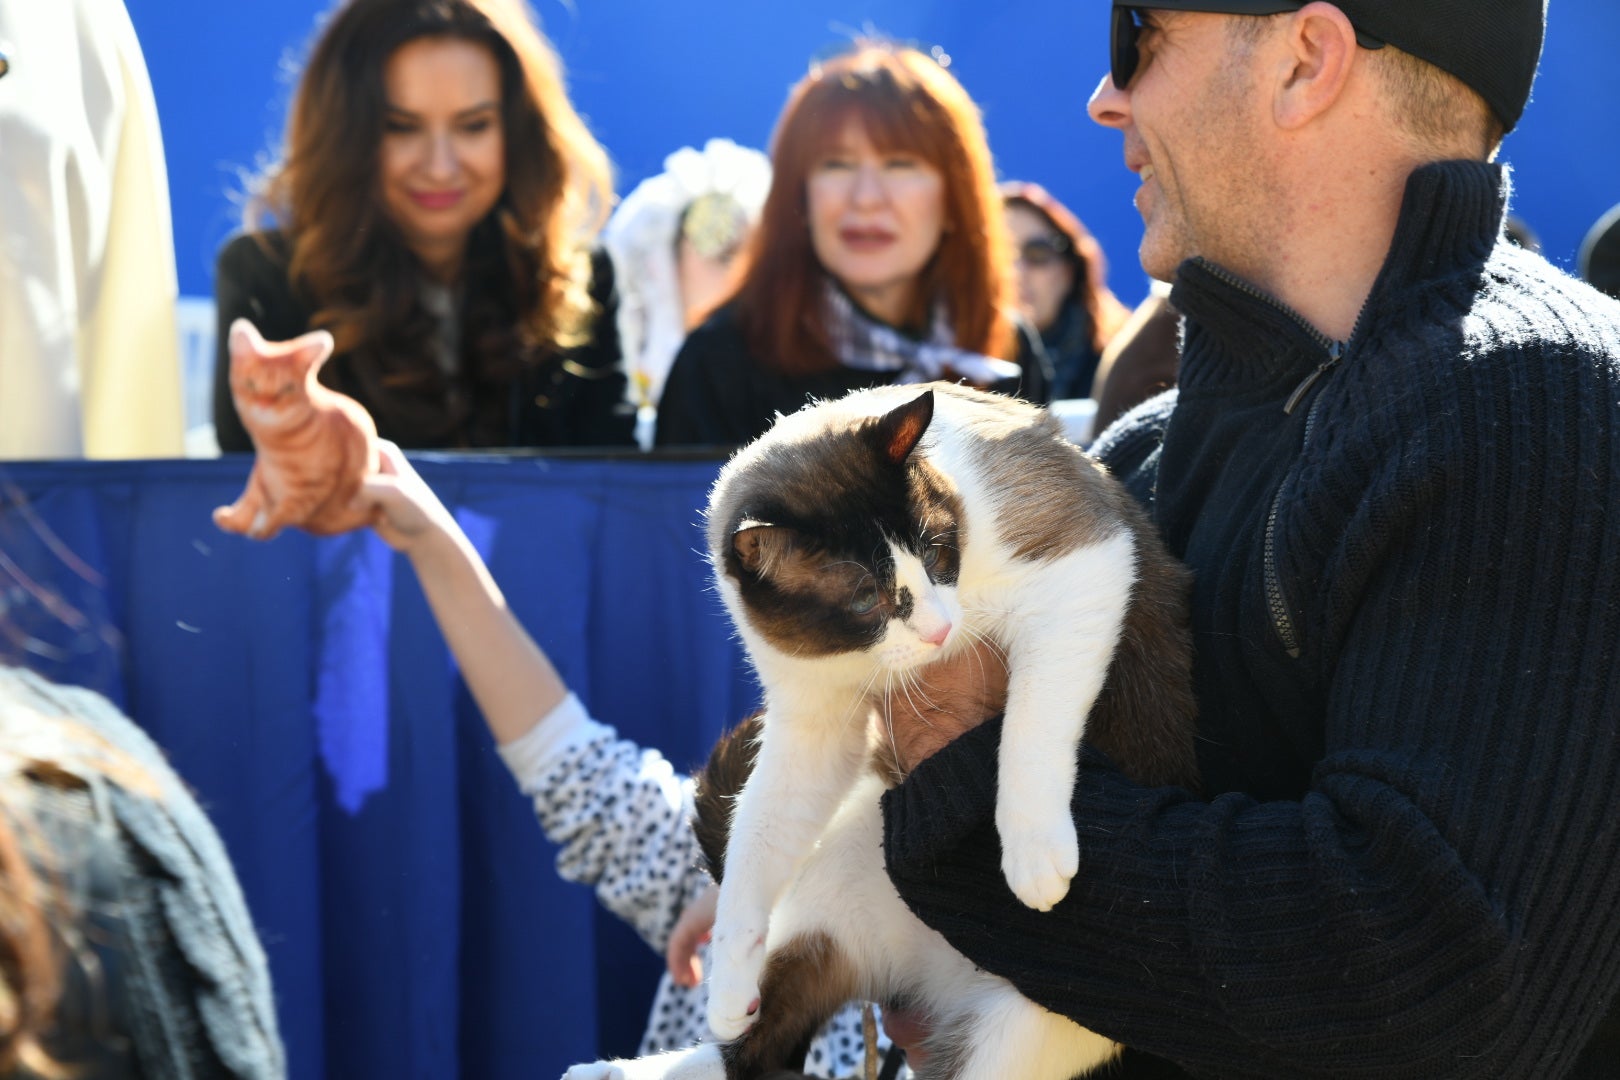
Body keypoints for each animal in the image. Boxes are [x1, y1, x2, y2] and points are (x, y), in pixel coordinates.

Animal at [212, 318, 379, 540]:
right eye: (251, 385)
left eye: (288, 389)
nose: (265, 404)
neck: (275, 446)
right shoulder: (261, 473)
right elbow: (251, 498)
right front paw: (236, 520)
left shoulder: (312, 489)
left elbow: (283, 513)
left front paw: (262, 530)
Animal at [563, 382, 1198, 1080]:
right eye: (868, 601)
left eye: (940, 554)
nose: (941, 631)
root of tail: (936, 985)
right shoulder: (816, 724)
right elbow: (756, 836)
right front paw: (728, 979)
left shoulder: (1082, 567)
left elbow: (1031, 724)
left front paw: (1033, 854)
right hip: (847, 886)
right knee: (753, 1052)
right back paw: (614, 1068)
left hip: (1025, 1023)